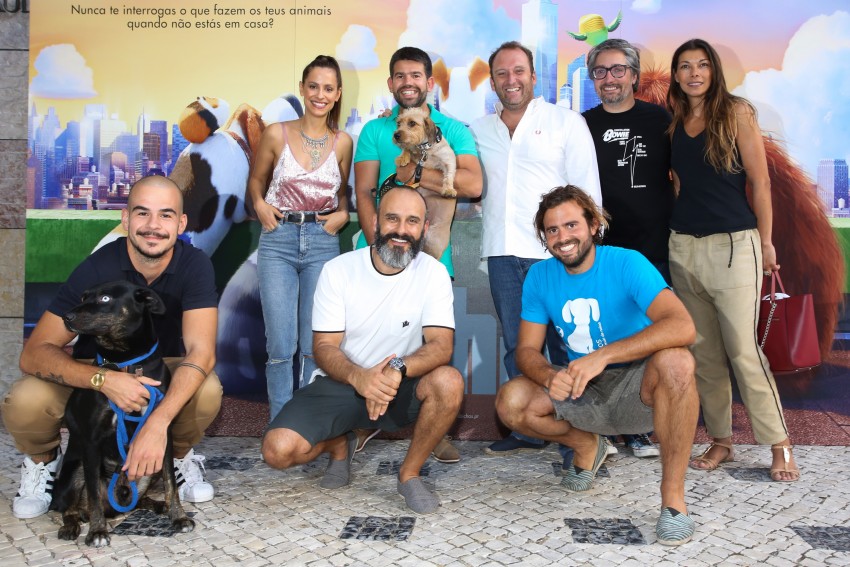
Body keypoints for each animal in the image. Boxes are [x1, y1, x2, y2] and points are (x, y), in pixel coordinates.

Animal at [50, 281, 194, 547]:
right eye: (83, 297)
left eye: (105, 298)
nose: (67, 316)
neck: (126, 362)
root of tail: (115, 508)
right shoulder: (91, 441)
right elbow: (94, 494)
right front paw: (97, 532)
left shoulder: (161, 432)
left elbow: (171, 481)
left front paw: (177, 516)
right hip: (74, 471)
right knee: (71, 508)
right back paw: (73, 525)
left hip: (148, 468)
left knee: (138, 500)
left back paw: (158, 506)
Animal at [392, 106, 459, 260]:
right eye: (398, 123)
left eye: (412, 123)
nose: (396, 135)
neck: (425, 149)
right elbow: (408, 149)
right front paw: (402, 157)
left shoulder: (448, 160)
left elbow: (448, 175)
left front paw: (448, 189)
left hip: (434, 243)